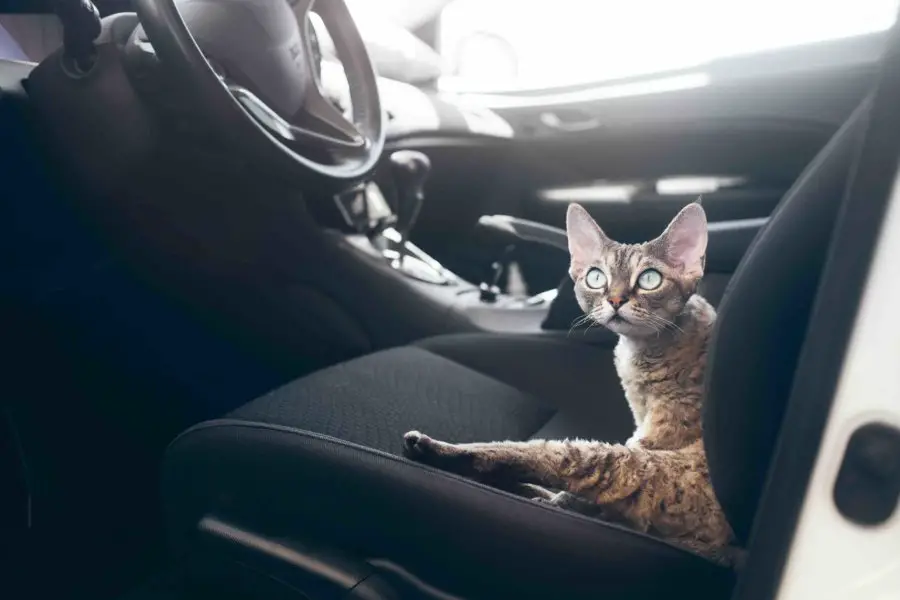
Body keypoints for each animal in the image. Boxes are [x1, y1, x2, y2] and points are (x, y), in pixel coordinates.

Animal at [400, 204, 740, 564]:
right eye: (596, 277)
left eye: (650, 279)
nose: (615, 300)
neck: (641, 348)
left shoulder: (657, 433)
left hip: (616, 463)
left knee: (526, 457)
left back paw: (434, 449)